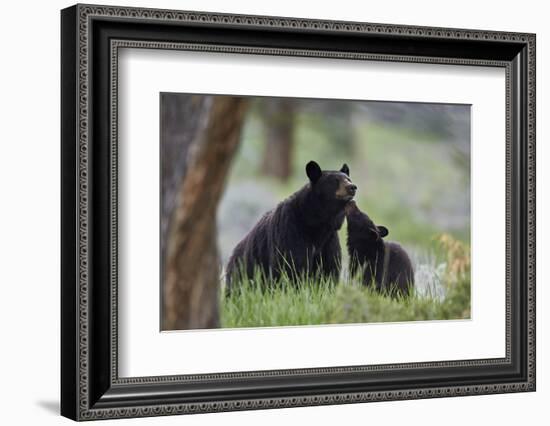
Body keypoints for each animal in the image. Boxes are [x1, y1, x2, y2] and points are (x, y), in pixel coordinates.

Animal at [226, 160, 360, 290]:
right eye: (335, 181)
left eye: (348, 179)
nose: (352, 187)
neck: (316, 223)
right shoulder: (290, 230)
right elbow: (291, 266)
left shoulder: (329, 240)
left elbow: (328, 270)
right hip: (243, 271)